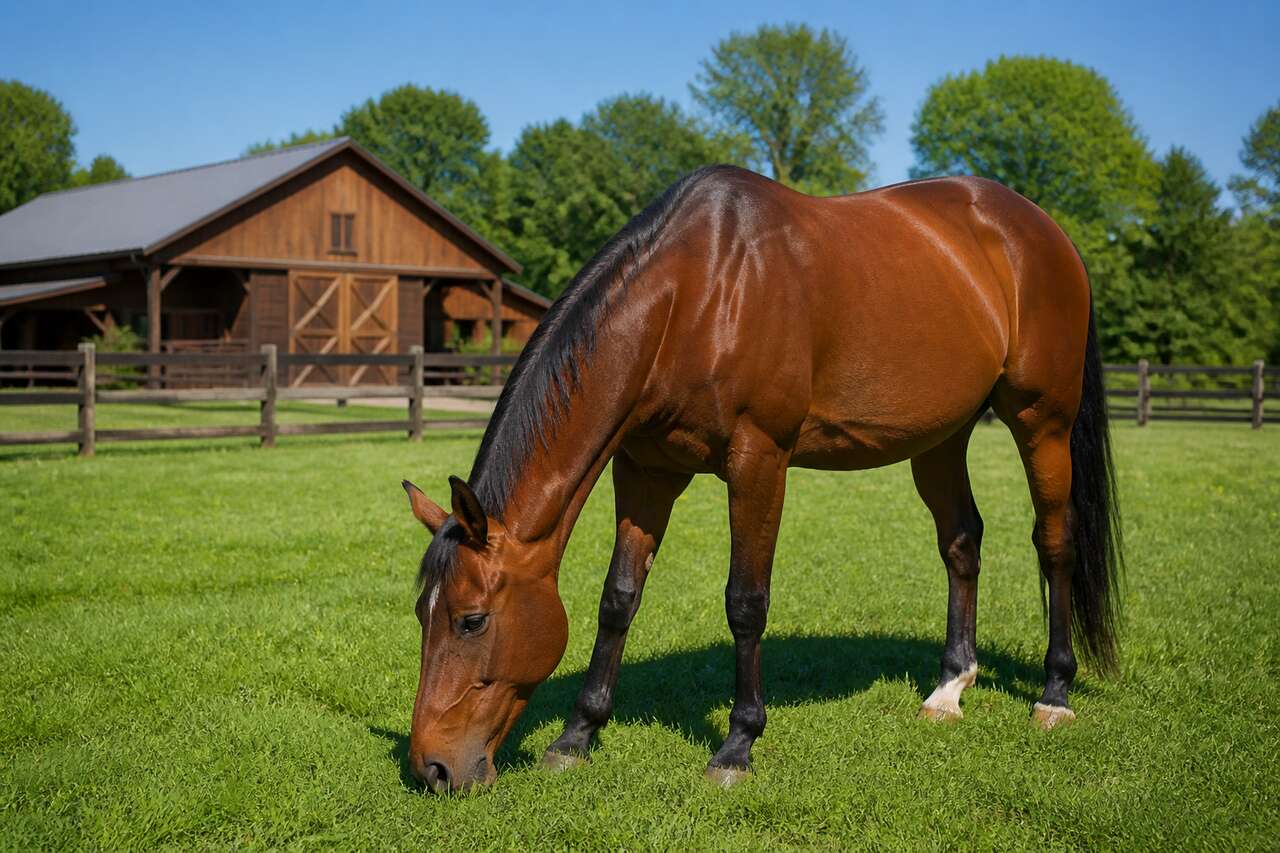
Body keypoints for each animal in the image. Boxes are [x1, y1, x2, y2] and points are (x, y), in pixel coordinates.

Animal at [401, 165, 1121, 793]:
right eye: (420, 613)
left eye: (470, 621)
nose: (433, 768)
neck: (698, 294)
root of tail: (1042, 230)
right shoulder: (646, 471)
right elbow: (618, 598)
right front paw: (578, 734)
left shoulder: (759, 461)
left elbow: (745, 602)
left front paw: (737, 744)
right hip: (942, 439)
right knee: (962, 543)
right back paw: (949, 688)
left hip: (1042, 422)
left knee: (1055, 543)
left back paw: (1054, 692)